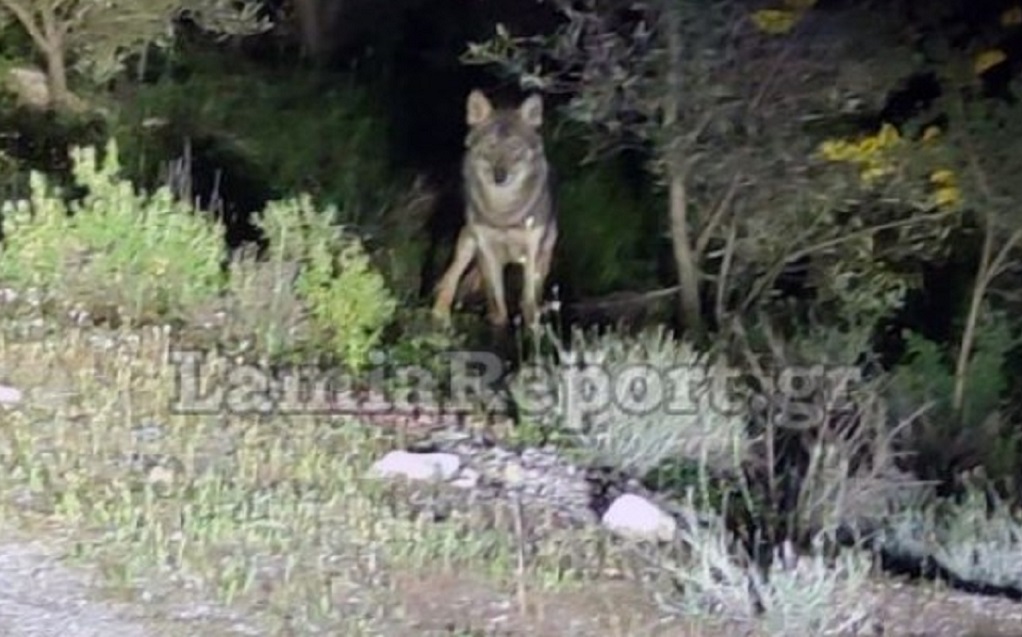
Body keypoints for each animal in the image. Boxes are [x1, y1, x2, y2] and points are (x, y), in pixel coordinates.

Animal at [431, 89, 560, 331]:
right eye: (491, 145)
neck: (503, 212)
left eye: (514, 147)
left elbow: (528, 298)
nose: (500, 177)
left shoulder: (532, 250)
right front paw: (498, 323)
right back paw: (440, 313)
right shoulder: (486, 248)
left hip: (544, 254)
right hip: (468, 243)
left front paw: (532, 327)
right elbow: (497, 299)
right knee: (451, 277)